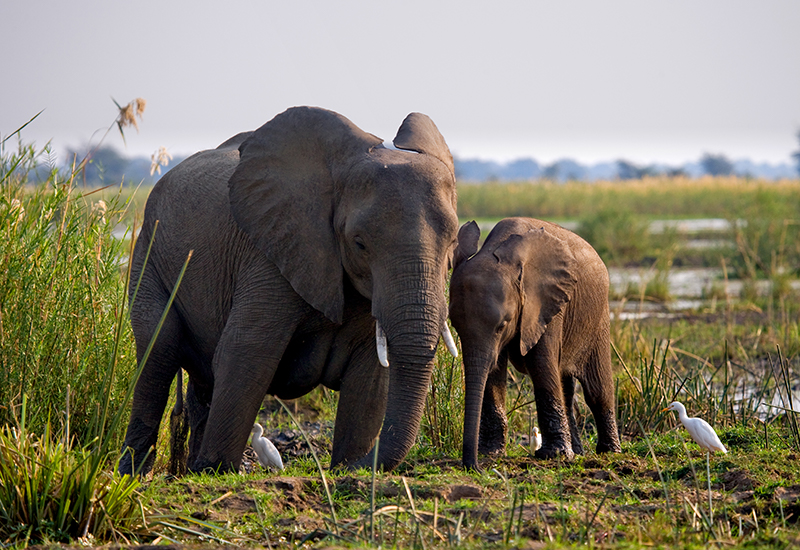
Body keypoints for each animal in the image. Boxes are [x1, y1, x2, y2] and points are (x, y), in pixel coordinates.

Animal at [118, 106, 460, 475]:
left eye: (454, 241)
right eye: (359, 243)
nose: (350, 467)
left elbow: (369, 374)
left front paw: (347, 467)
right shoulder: (270, 254)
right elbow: (246, 351)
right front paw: (216, 469)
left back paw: (187, 468)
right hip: (149, 254)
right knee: (158, 351)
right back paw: (135, 473)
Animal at [449, 217, 621, 469]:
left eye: (502, 325)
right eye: (455, 326)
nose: (474, 466)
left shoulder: (546, 303)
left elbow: (541, 365)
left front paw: (555, 455)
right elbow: (494, 370)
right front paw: (491, 453)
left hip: (597, 317)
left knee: (597, 388)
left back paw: (609, 452)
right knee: (566, 387)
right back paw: (578, 451)